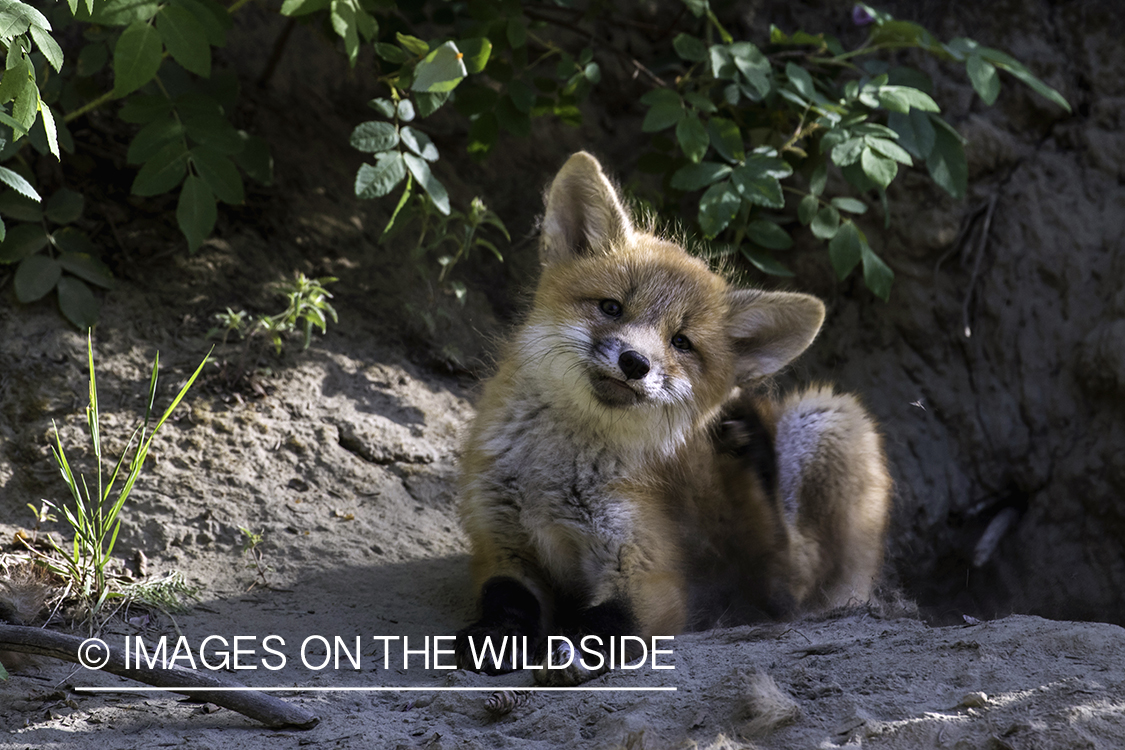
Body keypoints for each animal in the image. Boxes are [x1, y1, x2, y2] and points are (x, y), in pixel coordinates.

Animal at [455, 152, 891, 685]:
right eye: (611, 307)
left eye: (680, 342)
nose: (635, 362)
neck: (551, 478)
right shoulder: (500, 544)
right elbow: (507, 599)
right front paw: (495, 636)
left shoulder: (651, 573)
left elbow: (608, 621)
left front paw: (572, 650)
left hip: (829, 418)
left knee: (790, 579)